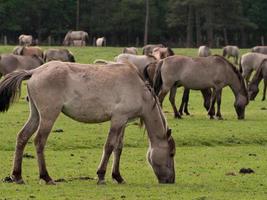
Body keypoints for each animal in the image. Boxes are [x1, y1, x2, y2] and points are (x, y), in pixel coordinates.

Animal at [0, 61, 177, 184]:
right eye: (171, 153)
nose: (170, 180)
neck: (138, 90)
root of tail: (34, 71)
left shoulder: (123, 122)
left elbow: (118, 148)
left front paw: (118, 177)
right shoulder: (118, 120)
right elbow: (109, 146)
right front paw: (101, 176)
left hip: (36, 115)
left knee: (22, 137)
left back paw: (17, 176)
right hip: (48, 116)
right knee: (39, 141)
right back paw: (46, 177)